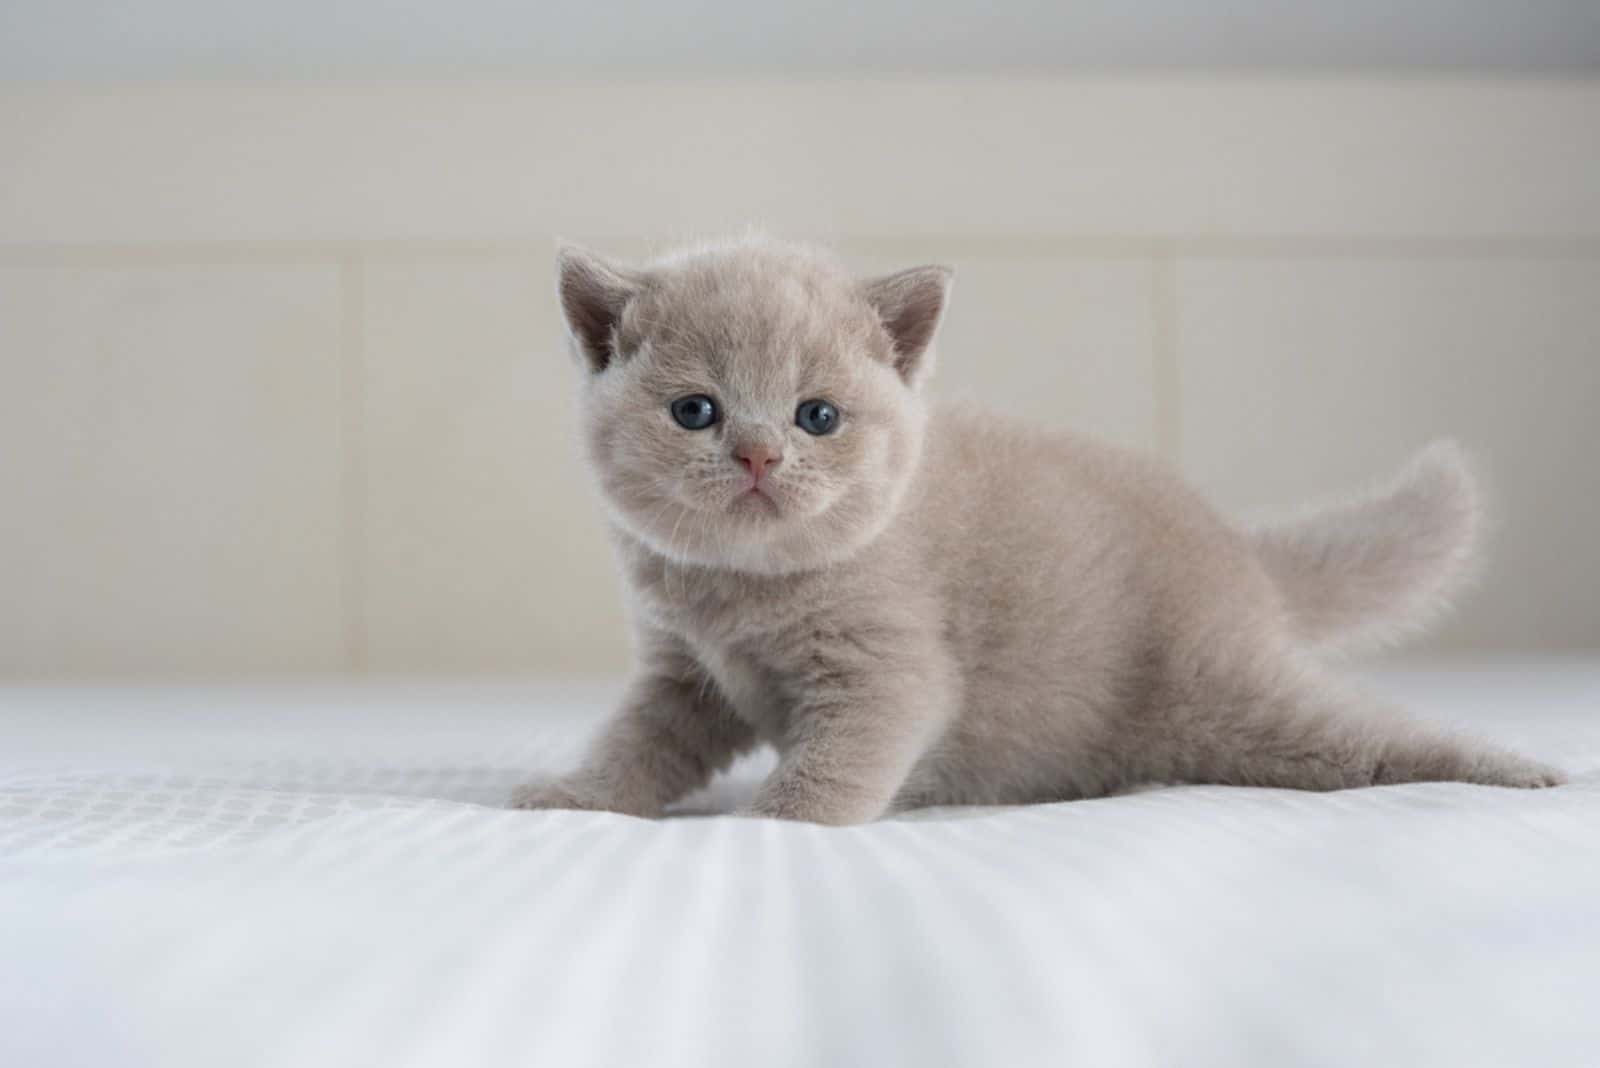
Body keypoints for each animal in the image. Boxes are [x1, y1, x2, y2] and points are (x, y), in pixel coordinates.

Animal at [512, 235, 1561, 824]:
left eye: (817, 417)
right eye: (696, 412)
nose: (761, 457)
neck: (741, 589)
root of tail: (1232, 544)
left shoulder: (890, 667)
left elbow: (841, 759)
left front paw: (770, 825)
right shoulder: (684, 675)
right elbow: (641, 741)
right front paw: (578, 796)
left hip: (1224, 699)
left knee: (1368, 737)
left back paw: (1517, 772)